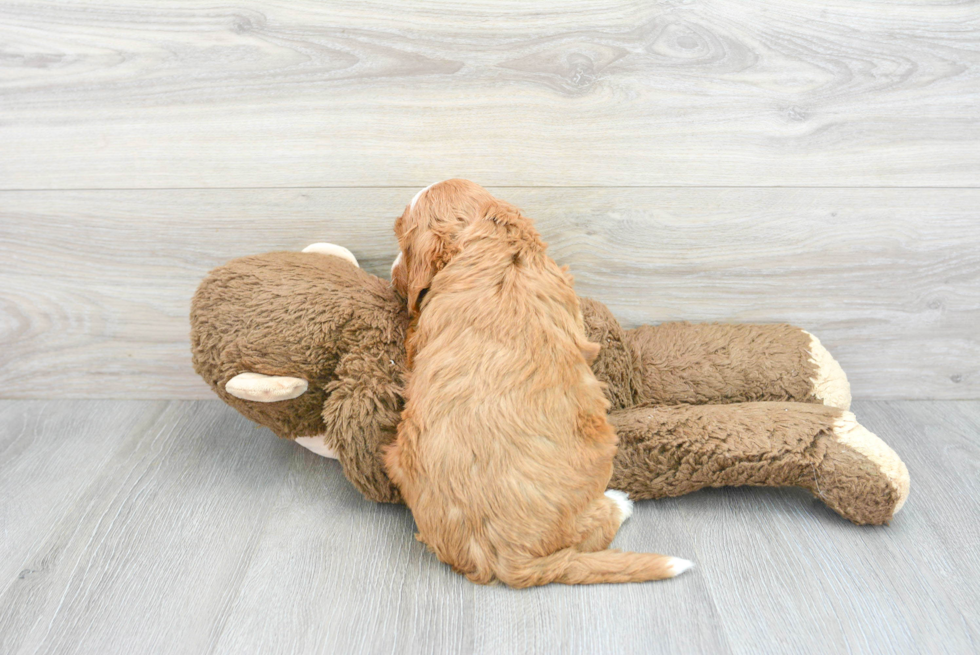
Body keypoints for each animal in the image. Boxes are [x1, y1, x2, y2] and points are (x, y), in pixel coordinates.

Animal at [382, 181, 688, 588]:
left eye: (402, 239)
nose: (389, 270)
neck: (491, 245)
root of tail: (511, 561)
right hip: (600, 452)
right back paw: (619, 503)